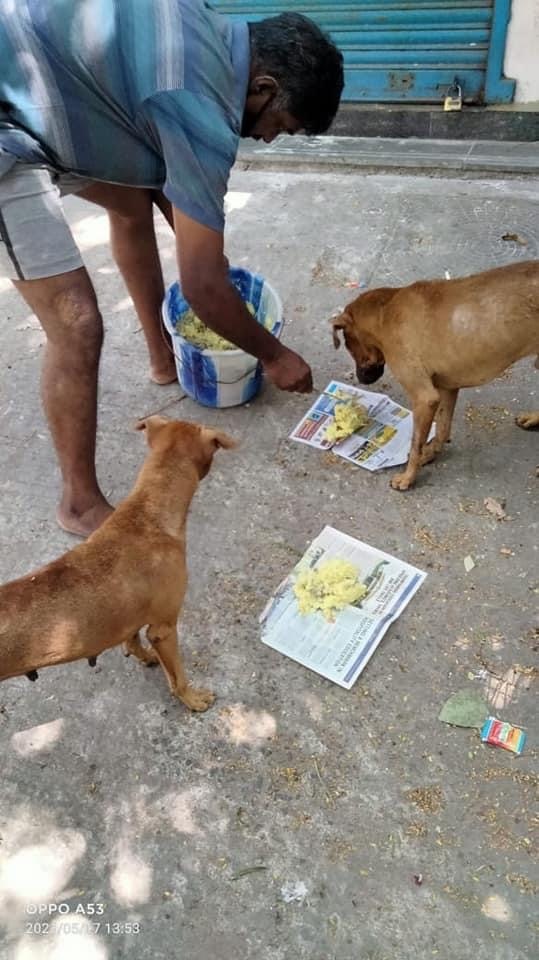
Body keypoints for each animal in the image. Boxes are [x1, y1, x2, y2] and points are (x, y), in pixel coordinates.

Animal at [0, 416, 236, 708]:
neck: (147, 512)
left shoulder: (131, 615)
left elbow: (132, 642)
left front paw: (146, 657)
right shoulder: (164, 628)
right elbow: (178, 677)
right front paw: (192, 698)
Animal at [334, 260, 539, 492]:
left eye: (349, 347)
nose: (361, 380)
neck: (385, 313)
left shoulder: (424, 398)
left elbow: (416, 443)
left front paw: (408, 477)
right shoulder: (447, 388)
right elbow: (442, 429)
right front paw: (430, 454)